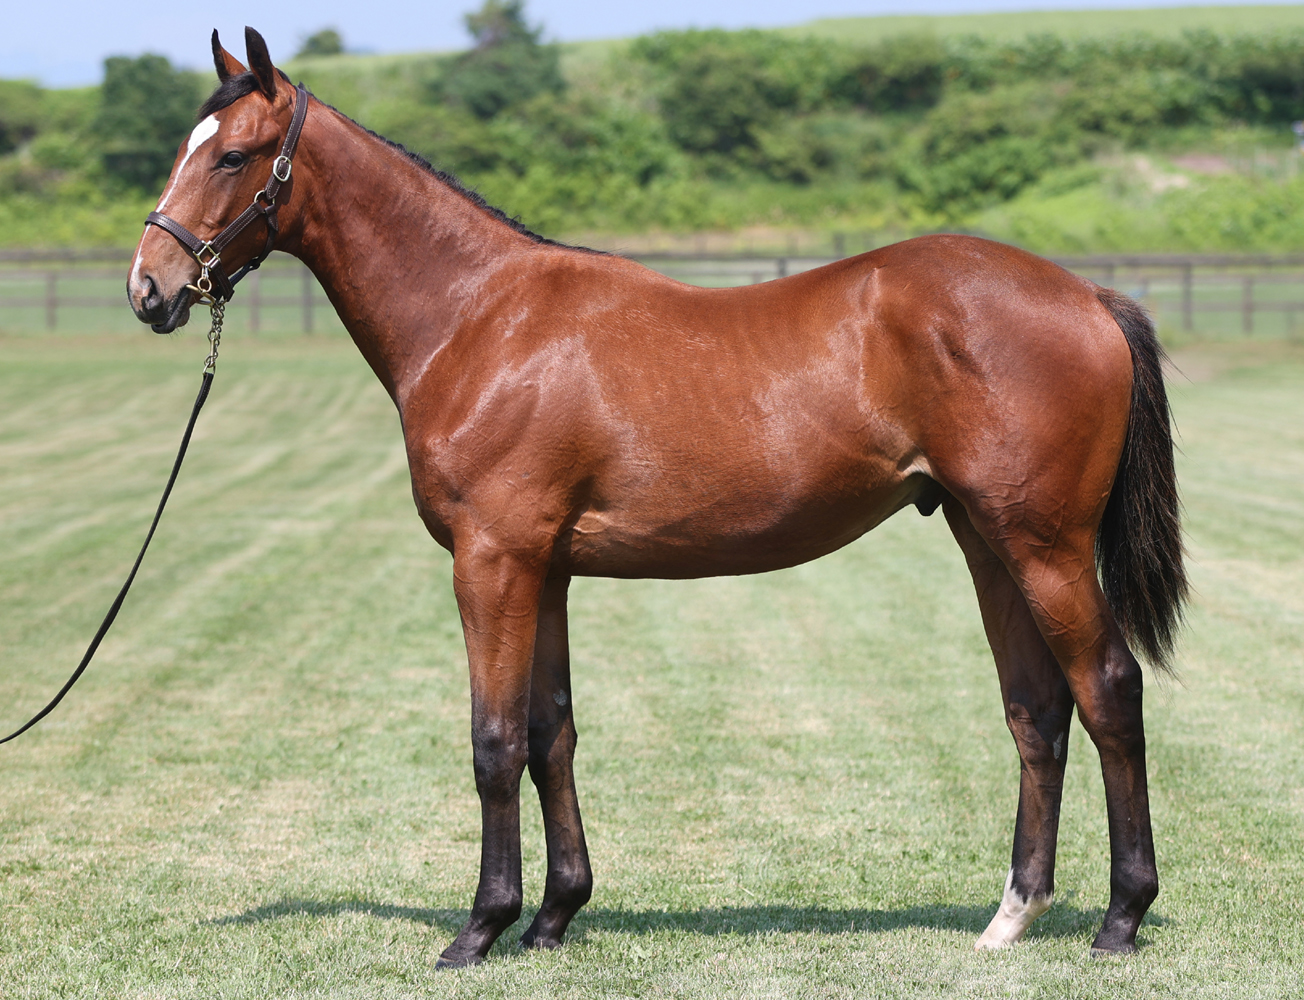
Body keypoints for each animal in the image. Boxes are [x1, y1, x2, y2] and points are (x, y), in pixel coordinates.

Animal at [127, 28, 1186, 968]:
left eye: (231, 155)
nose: (150, 288)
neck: (478, 316)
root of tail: (1089, 297)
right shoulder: (545, 570)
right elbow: (551, 733)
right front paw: (554, 916)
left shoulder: (492, 561)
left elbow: (493, 741)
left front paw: (479, 929)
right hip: (986, 539)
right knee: (1036, 711)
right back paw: (1010, 918)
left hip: (1045, 546)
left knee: (1108, 691)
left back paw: (1120, 918)